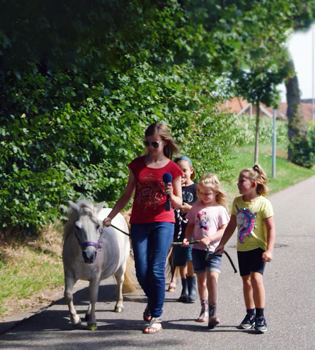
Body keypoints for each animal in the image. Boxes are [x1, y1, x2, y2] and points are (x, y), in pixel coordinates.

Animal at [62, 201, 130, 330]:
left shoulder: (95, 276)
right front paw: (75, 319)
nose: (90, 255)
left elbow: (93, 297)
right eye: (77, 227)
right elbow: (68, 295)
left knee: (120, 283)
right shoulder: (69, 275)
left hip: (121, 267)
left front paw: (92, 322)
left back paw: (119, 305)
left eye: (97, 226)